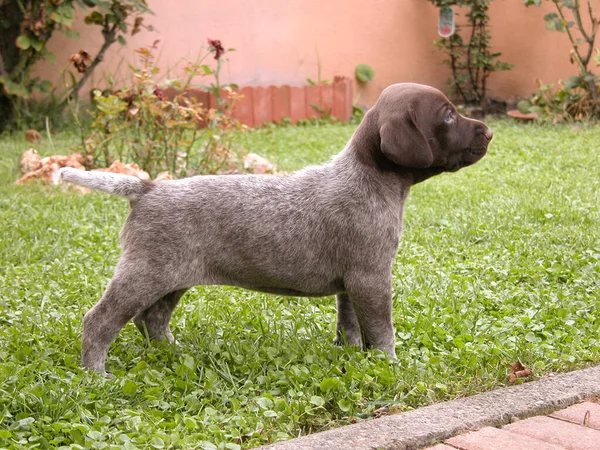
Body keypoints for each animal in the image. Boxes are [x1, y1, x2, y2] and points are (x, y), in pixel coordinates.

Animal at [59, 82, 492, 374]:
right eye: (448, 115)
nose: (488, 131)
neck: (370, 177)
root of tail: (147, 187)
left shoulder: (353, 283)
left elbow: (351, 327)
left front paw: (352, 359)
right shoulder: (371, 278)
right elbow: (381, 331)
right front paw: (390, 365)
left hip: (171, 277)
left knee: (151, 319)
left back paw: (172, 352)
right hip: (145, 273)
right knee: (100, 321)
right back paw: (96, 373)